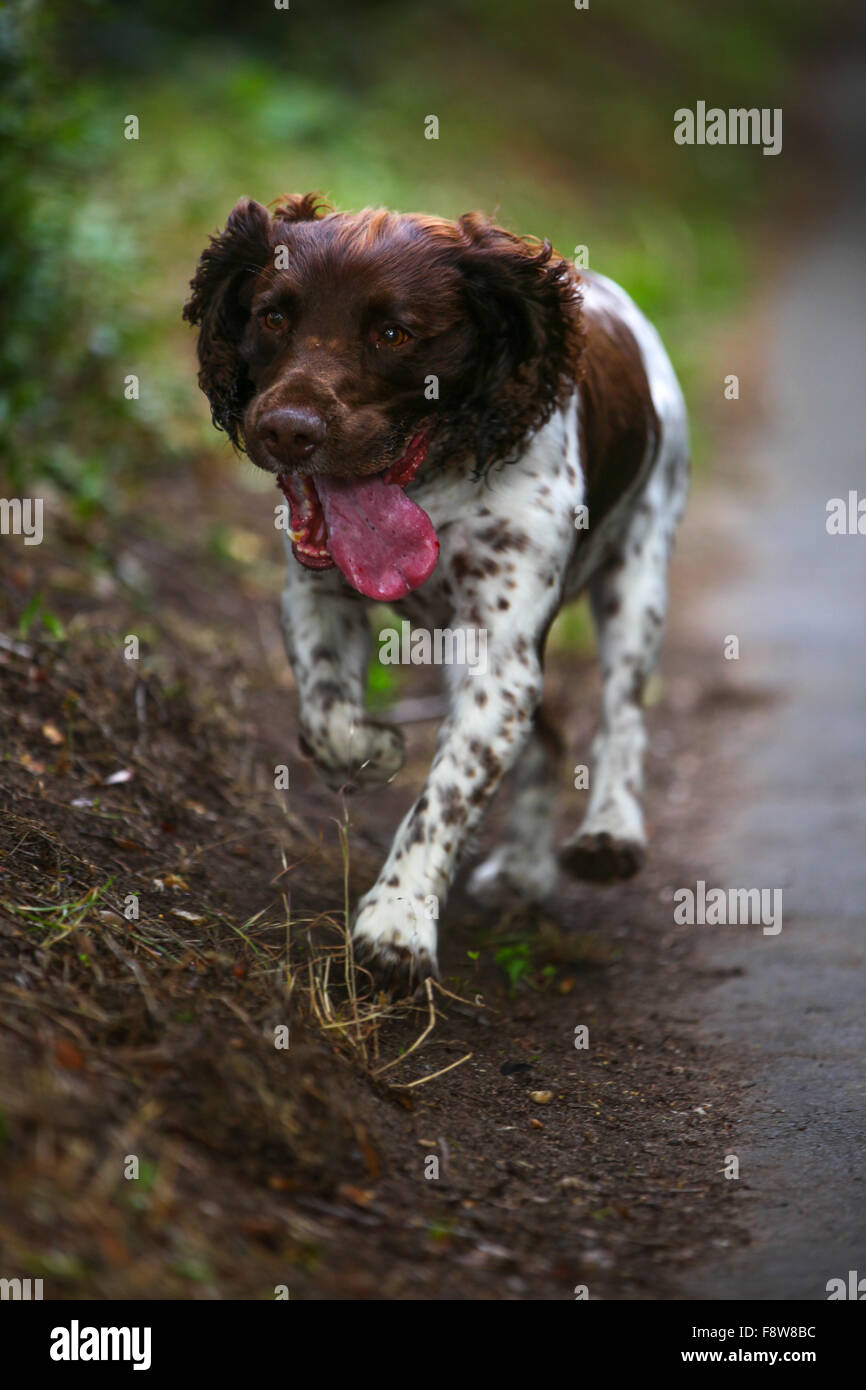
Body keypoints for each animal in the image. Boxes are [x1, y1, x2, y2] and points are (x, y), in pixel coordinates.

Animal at [184, 198, 692, 1000]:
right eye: (272, 316)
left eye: (394, 333)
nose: (287, 431)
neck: (437, 481)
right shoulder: (317, 593)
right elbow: (327, 716)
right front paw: (373, 751)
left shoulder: (500, 651)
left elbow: (445, 795)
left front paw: (397, 925)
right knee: (551, 734)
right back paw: (524, 870)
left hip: (638, 576)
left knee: (623, 712)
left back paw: (610, 831)